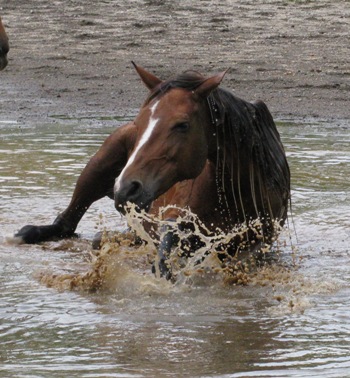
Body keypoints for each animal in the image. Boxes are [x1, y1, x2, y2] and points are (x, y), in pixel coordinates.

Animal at [15, 62, 292, 278]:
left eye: (182, 124)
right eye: (140, 123)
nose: (125, 188)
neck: (236, 194)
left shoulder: (257, 245)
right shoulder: (175, 213)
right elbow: (168, 242)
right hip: (98, 166)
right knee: (67, 222)